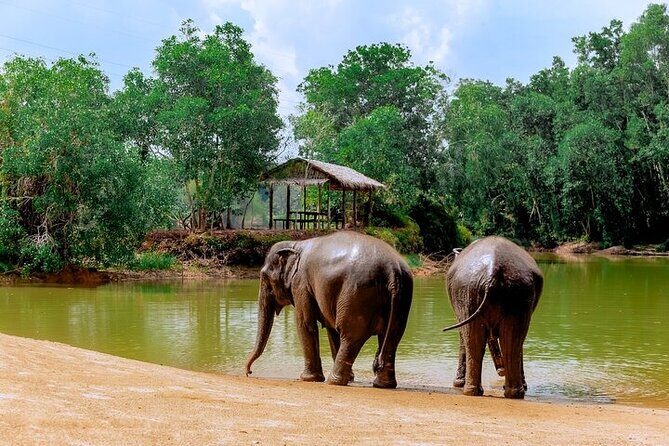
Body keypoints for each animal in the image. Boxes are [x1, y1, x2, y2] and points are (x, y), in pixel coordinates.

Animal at [245, 231, 413, 388]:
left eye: (264, 277)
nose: (249, 372)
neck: (296, 244)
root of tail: (392, 270)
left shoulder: (301, 284)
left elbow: (305, 324)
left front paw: (308, 379)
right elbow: (331, 330)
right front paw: (350, 378)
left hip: (356, 295)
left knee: (350, 336)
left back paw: (334, 381)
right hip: (401, 298)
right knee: (391, 338)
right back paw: (382, 385)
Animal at [443, 236, 543, 399]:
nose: (501, 371)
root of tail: (492, 270)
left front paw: (457, 383)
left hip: (484, 292)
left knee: (483, 340)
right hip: (509, 293)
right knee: (508, 341)